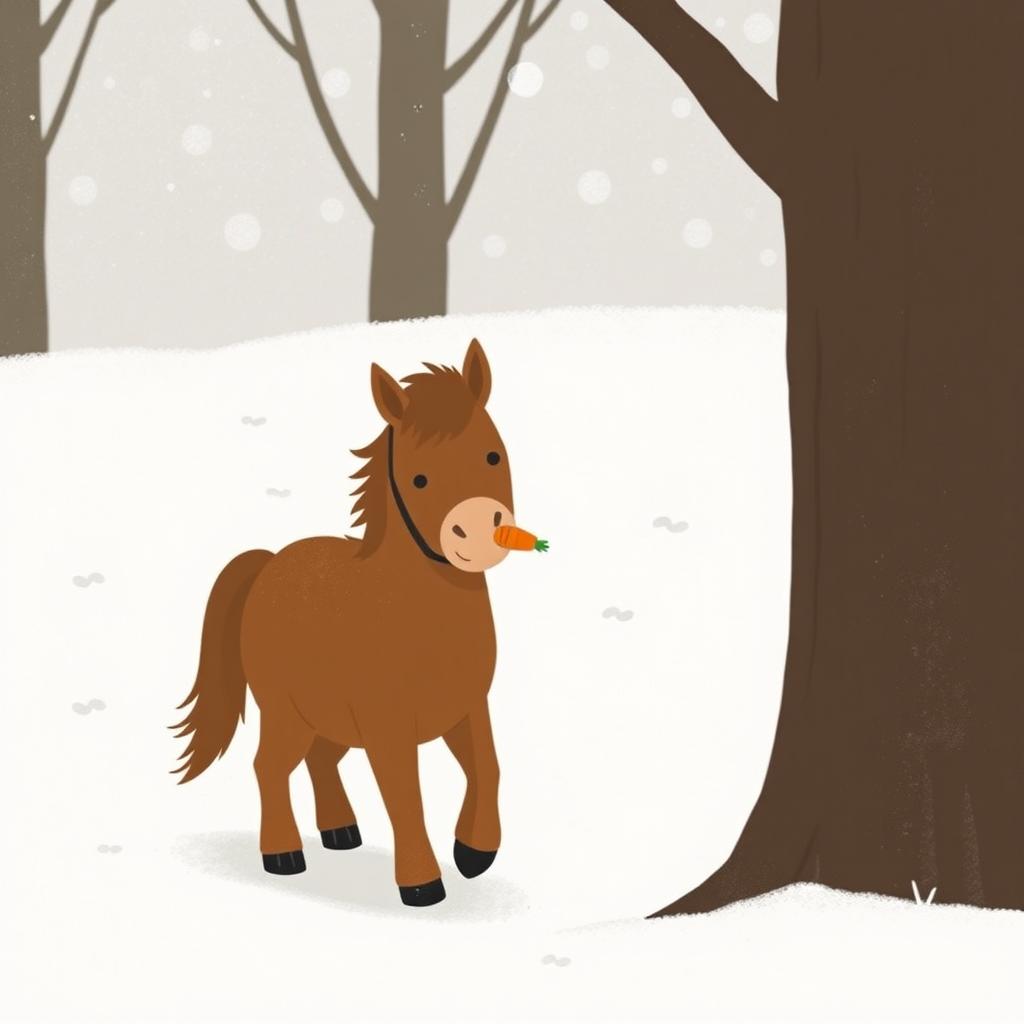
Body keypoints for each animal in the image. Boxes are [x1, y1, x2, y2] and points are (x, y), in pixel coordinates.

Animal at [172, 339, 522, 906]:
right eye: (418, 478)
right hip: (287, 712)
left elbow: (487, 768)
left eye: (493, 453)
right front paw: (422, 885)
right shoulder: (388, 726)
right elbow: (404, 795)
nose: (476, 532)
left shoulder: (466, 708)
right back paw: (284, 857)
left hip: (325, 713)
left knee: (320, 761)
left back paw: (340, 833)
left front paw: (473, 853)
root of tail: (268, 562)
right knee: (270, 767)